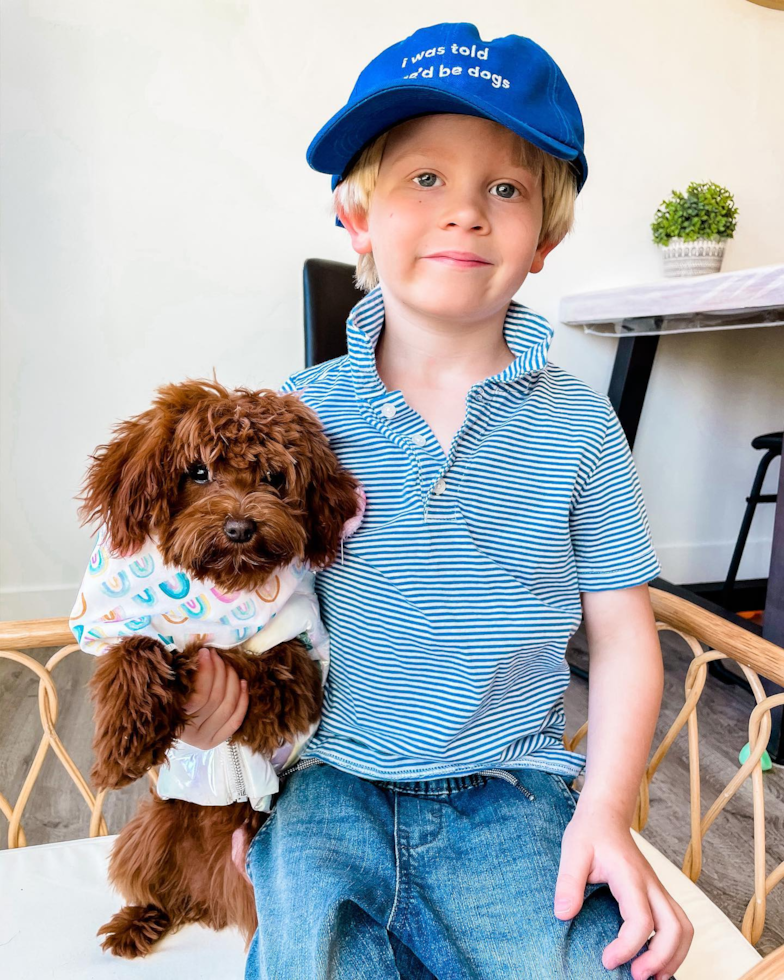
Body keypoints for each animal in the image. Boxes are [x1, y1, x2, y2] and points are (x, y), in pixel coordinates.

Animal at [69, 378, 362, 956]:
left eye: (275, 477)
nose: (240, 527)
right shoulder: (115, 624)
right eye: (198, 472)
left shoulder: (296, 669)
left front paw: (191, 674)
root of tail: (210, 897)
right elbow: (135, 648)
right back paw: (138, 922)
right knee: (160, 893)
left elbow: (252, 667)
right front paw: (123, 746)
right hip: (147, 830)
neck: (223, 584)